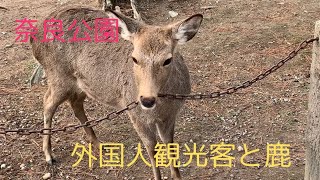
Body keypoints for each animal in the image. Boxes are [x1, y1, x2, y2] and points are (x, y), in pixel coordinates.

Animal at [31, 5, 202, 180]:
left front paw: (177, 176)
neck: (162, 107)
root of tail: (34, 36)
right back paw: (49, 155)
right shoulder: (135, 114)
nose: (146, 100)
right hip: (58, 76)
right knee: (47, 102)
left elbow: (170, 145)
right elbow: (151, 148)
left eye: (167, 60)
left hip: (83, 83)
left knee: (75, 104)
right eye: (134, 58)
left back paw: (98, 143)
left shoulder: (170, 115)